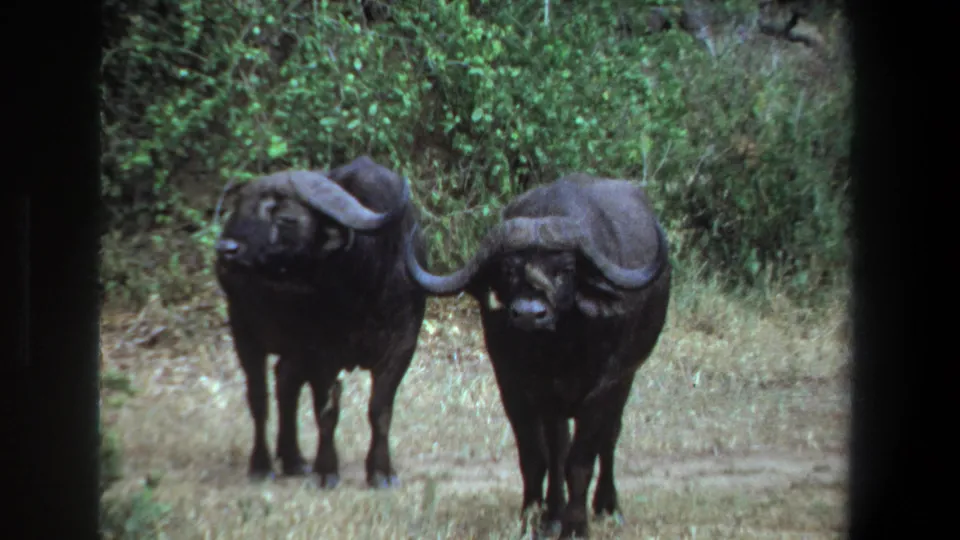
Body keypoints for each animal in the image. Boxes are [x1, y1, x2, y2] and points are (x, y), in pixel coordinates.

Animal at [214, 156, 427, 489]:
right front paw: (326, 471)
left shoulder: (403, 344)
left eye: (286, 217)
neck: (364, 284)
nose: (226, 249)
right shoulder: (321, 351)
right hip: (244, 330)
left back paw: (293, 459)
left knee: (285, 381)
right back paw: (262, 465)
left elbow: (380, 410)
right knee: (259, 397)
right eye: (240, 209)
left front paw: (381, 472)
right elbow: (326, 410)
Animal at [404, 174, 672, 538]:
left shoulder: (605, 385)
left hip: (626, 378)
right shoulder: (515, 387)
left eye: (565, 270)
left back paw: (608, 506)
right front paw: (534, 518)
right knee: (558, 449)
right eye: (508, 270)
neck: (556, 350)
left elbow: (581, 459)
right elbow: (537, 457)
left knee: (610, 436)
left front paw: (576, 525)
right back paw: (554, 514)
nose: (530, 315)